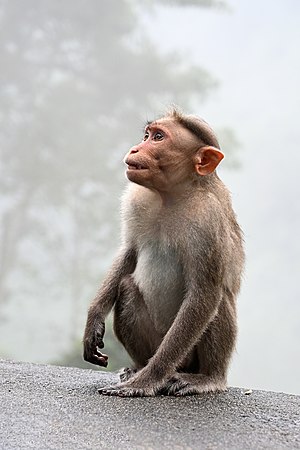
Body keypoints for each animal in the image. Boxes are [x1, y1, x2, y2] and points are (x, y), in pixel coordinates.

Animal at [82, 107, 244, 396]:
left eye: (158, 138)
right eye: (147, 135)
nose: (135, 148)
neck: (171, 195)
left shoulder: (208, 221)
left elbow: (204, 294)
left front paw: (146, 382)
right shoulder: (136, 199)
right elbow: (130, 253)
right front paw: (94, 318)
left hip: (185, 357)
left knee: (217, 300)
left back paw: (207, 377)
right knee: (126, 288)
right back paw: (136, 367)